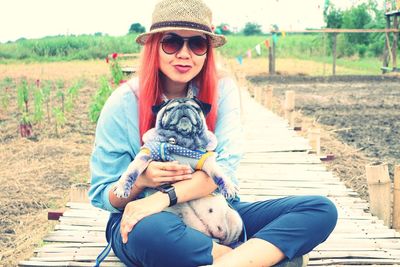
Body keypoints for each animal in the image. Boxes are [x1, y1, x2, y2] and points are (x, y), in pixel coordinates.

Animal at [114, 98, 242, 245]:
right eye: (170, 109)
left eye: (195, 108)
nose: (183, 107)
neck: (179, 142)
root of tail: (209, 234)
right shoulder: (146, 155)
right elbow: (131, 171)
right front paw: (122, 186)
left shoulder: (205, 160)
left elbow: (219, 173)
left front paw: (228, 187)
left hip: (236, 220)